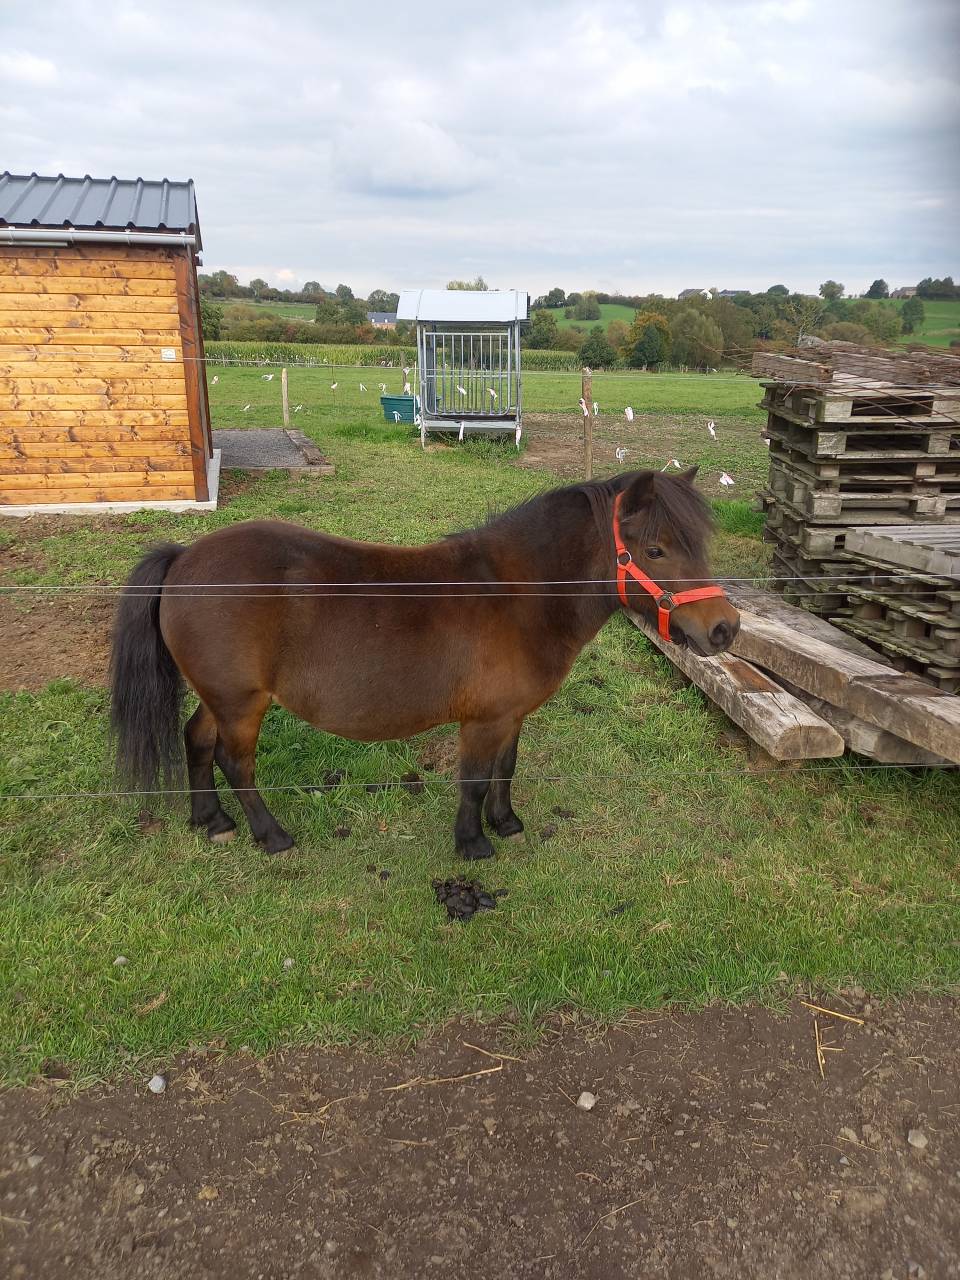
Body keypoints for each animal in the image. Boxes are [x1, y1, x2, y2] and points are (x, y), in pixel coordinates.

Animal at [109, 468, 739, 857]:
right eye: (656, 550)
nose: (724, 628)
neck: (520, 593)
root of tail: (185, 557)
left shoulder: (509, 716)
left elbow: (505, 770)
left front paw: (507, 824)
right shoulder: (482, 721)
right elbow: (475, 780)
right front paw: (473, 843)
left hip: (221, 696)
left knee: (196, 740)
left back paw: (211, 821)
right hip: (242, 703)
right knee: (235, 762)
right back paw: (270, 834)